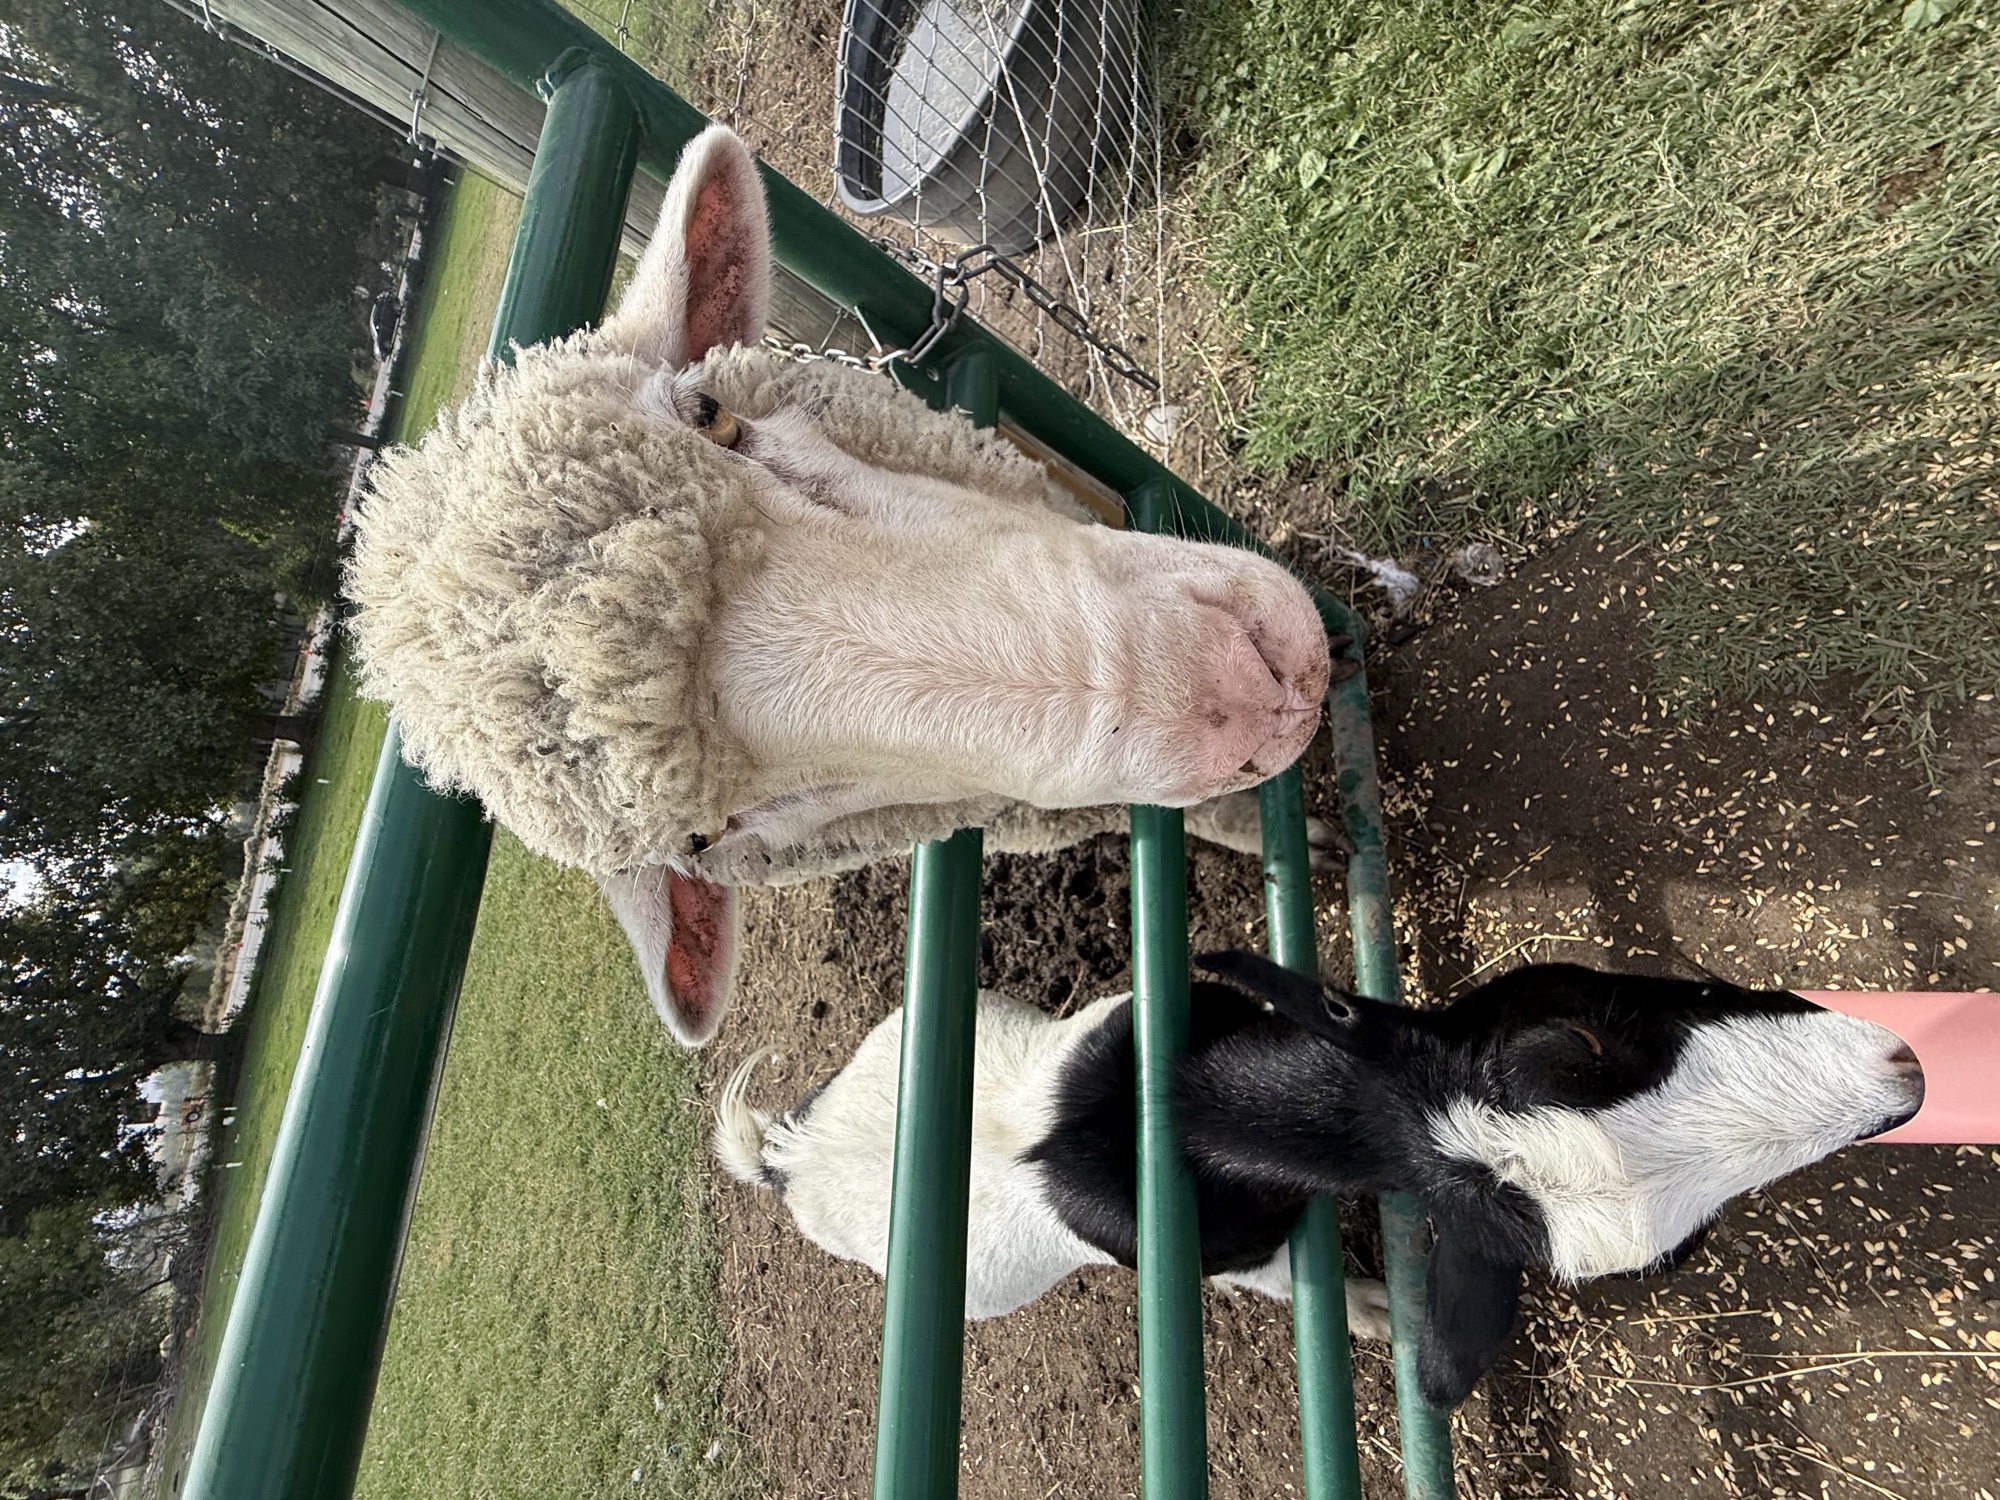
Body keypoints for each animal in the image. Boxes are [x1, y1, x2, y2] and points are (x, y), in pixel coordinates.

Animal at [714, 951, 1924, 1409]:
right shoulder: (1217, 1257)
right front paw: (1379, 1313)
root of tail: (788, 1155)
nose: (1903, 1078)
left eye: (1577, 1040)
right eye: (1677, 1253)